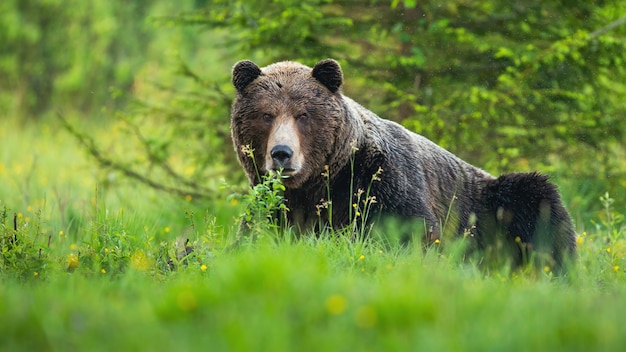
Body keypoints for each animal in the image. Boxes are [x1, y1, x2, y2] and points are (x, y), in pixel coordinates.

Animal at [229, 57, 576, 270]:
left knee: (537, 205)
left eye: (303, 115)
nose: (282, 153)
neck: (324, 181)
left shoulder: (381, 179)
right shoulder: (277, 205)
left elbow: (413, 231)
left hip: (489, 206)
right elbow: (253, 237)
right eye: (266, 115)